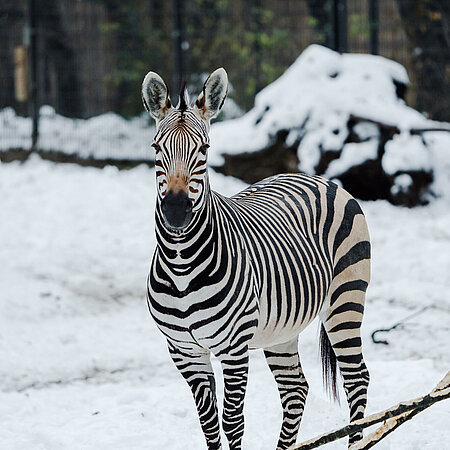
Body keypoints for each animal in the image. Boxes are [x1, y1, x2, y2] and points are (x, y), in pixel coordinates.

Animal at [142, 67, 370, 450]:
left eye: (204, 149)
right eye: (157, 147)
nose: (175, 211)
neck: (181, 263)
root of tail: (312, 176)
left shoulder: (233, 348)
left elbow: (232, 422)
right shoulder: (184, 350)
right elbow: (208, 423)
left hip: (346, 299)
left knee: (357, 380)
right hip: (282, 330)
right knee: (296, 390)